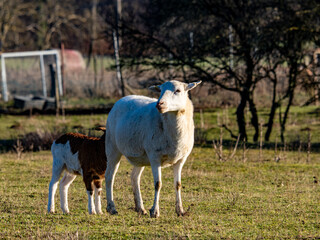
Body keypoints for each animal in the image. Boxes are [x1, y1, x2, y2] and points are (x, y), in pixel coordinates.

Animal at [104, 79, 200, 218]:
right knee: (109, 176)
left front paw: (180, 210)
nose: (159, 104)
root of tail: (122, 98)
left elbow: (178, 184)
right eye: (160, 90)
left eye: (178, 90)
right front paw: (155, 211)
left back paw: (140, 208)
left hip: (140, 156)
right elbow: (158, 184)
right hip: (112, 146)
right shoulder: (155, 157)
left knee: (134, 177)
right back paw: (111, 208)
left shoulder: (181, 159)